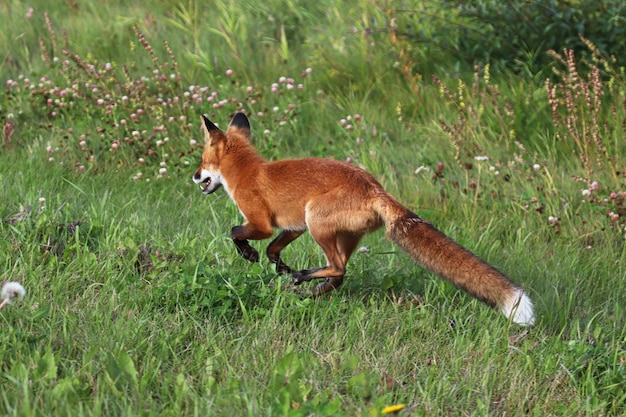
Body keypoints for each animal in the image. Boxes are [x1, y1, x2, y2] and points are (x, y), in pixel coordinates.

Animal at [190, 113, 532, 324]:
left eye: (203, 161)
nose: (193, 177)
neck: (248, 172)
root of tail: (376, 189)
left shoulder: (262, 223)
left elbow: (236, 231)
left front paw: (249, 254)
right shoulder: (294, 226)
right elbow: (273, 249)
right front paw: (279, 266)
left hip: (317, 221)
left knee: (337, 268)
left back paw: (303, 278)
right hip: (336, 232)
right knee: (340, 274)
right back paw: (307, 290)